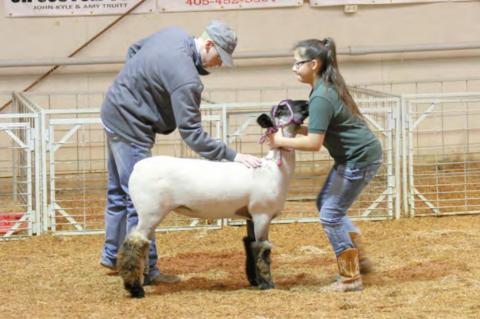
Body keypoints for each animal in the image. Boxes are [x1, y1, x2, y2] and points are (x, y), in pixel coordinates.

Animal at [118, 100, 310, 300]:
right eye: (282, 108)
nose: (306, 103)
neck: (273, 168)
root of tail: (137, 167)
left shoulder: (249, 215)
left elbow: (250, 244)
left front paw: (254, 280)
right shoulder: (262, 214)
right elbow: (262, 249)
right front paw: (267, 284)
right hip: (150, 212)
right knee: (134, 243)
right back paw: (135, 289)